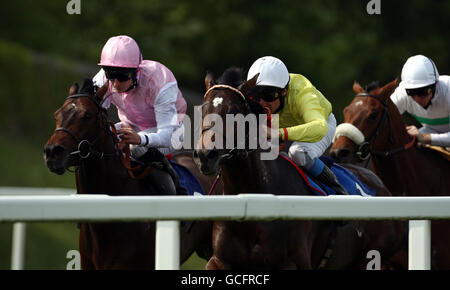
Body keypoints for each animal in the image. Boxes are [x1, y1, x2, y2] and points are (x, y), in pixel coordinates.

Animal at [192, 68, 402, 270]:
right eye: (203, 108)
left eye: (235, 111)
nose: (205, 155)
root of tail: (379, 184)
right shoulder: (219, 261)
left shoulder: (292, 263)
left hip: (370, 256)